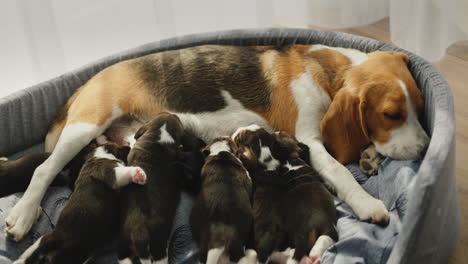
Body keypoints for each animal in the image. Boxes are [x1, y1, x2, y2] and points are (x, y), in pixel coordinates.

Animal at [8, 43, 432, 241]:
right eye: (392, 114)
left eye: (420, 106)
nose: (427, 148)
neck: (331, 70)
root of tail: (86, 82)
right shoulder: (309, 141)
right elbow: (339, 172)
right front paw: (367, 203)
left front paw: (369, 155)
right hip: (84, 125)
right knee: (44, 168)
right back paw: (23, 214)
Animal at [14, 142, 144, 264]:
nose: (128, 146)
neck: (100, 155)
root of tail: (56, 239)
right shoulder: (111, 173)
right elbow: (123, 173)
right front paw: (138, 173)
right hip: (71, 254)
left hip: (58, 245)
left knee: (35, 247)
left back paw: (21, 259)